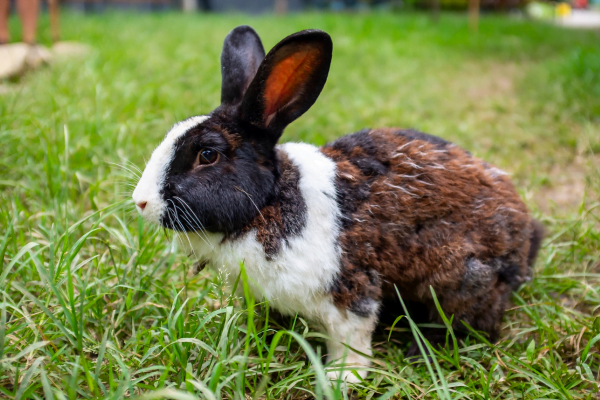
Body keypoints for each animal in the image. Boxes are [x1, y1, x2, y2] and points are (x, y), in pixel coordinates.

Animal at [131, 25, 544, 382]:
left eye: (208, 154)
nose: (141, 202)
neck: (269, 203)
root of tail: (526, 237)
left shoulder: (349, 293)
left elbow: (352, 339)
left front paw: (342, 378)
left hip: (462, 275)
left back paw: (422, 349)